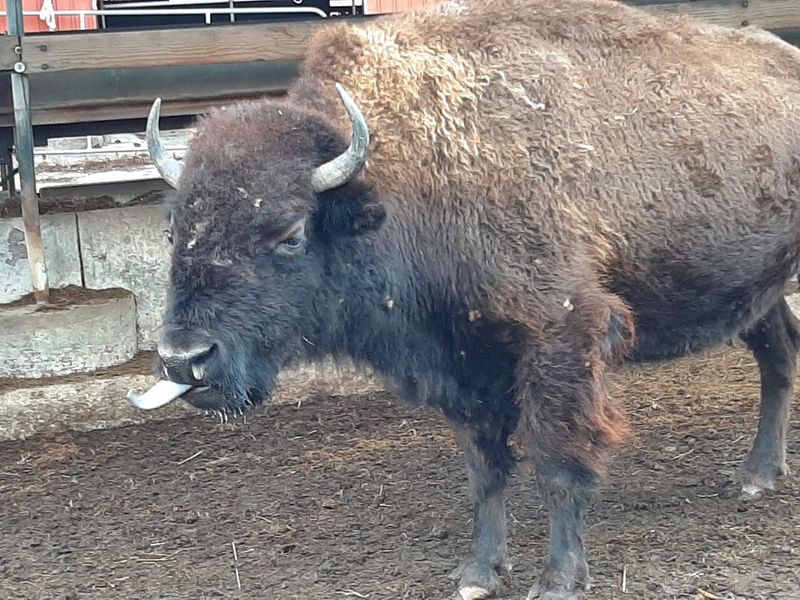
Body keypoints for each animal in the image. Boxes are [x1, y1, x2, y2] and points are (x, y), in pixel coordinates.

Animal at [133, 0, 800, 597]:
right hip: (757, 291)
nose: (183, 358)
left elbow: (558, 464)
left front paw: (558, 581)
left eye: (291, 233)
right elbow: (485, 472)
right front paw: (479, 573)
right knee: (779, 354)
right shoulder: (464, 365)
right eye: (173, 228)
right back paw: (757, 476)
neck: (405, 178)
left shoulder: (560, 341)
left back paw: (757, 479)